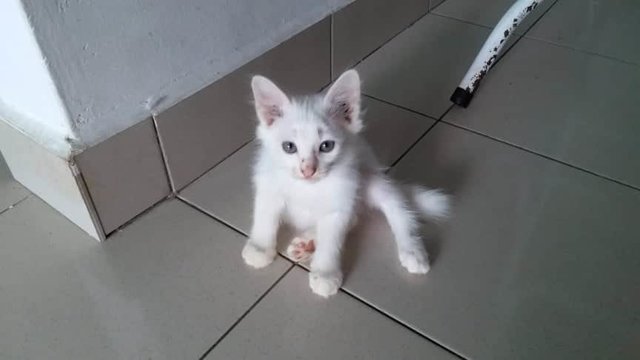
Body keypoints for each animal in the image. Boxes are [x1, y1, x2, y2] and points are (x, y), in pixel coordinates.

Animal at [241, 69, 450, 296]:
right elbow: (265, 217)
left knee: (396, 207)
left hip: (369, 178)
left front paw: (325, 274)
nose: (308, 171)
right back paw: (307, 243)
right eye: (289, 147)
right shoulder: (268, 185)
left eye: (326, 146)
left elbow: (331, 241)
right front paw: (260, 248)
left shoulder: (339, 203)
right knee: (355, 218)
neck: (307, 188)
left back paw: (412, 250)